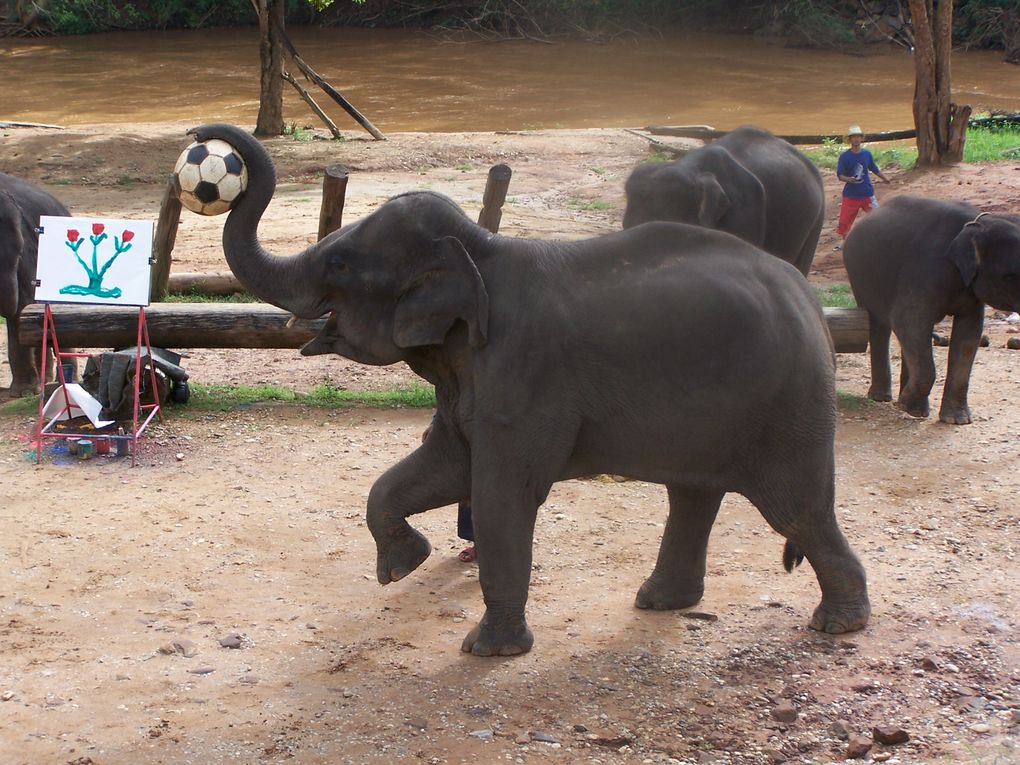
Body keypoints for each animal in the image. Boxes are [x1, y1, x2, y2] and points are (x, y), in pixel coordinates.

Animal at [840, 194, 1020, 426]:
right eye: (1009, 276)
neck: (977, 222)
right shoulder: (927, 269)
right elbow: (907, 321)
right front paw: (911, 409)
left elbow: (968, 336)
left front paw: (957, 420)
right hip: (861, 276)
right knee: (880, 326)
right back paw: (884, 398)